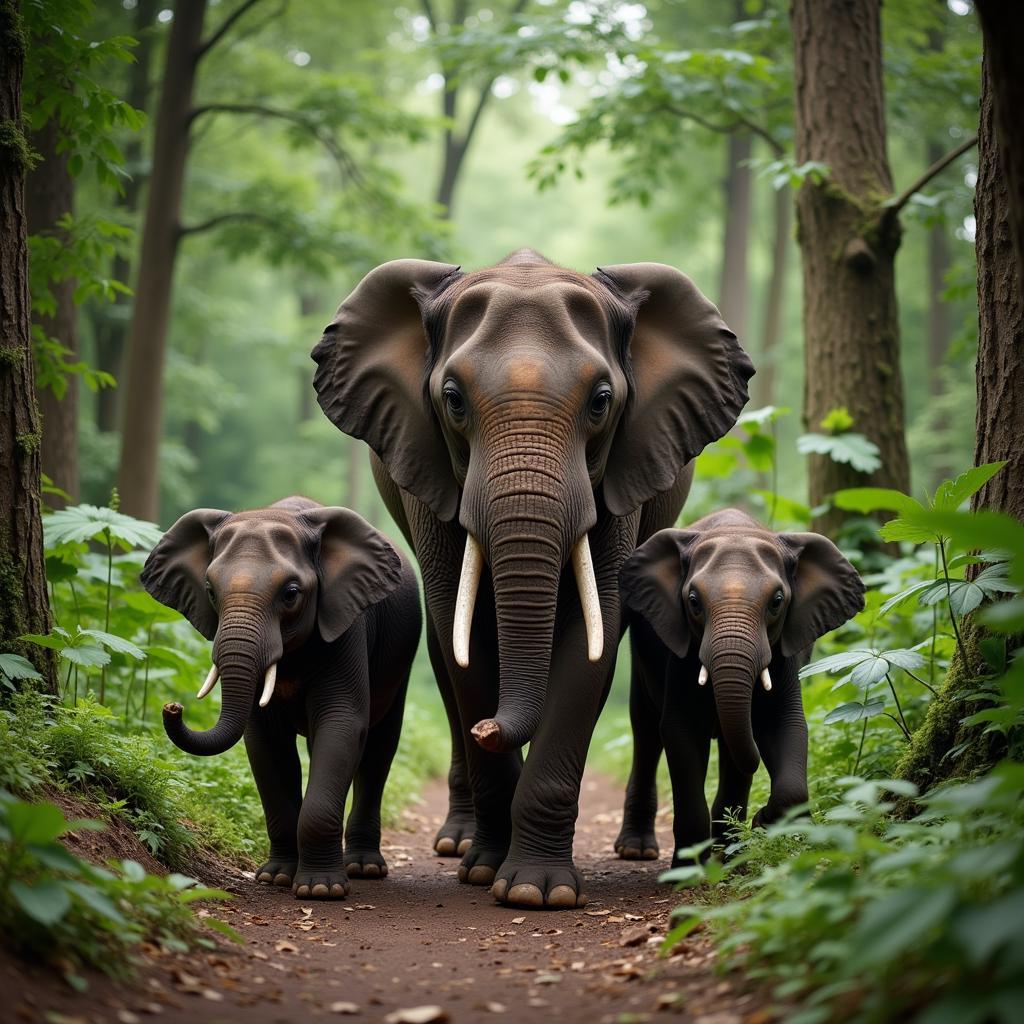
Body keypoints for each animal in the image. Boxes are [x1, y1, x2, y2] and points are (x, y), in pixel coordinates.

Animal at [140, 499, 419, 901]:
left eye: (290, 593)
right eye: (210, 590)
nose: (172, 708)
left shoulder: (346, 626)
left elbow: (342, 724)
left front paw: (321, 890)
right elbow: (265, 743)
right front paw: (275, 878)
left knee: (379, 747)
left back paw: (364, 868)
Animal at [311, 251, 753, 909]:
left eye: (601, 401)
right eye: (452, 399)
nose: (490, 727)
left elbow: (592, 640)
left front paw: (536, 891)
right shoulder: (427, 468)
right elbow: (463, 638)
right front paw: (485, 871)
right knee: (444, 654)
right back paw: (459, 842)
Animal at [614, 507, 864, 860]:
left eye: (777, 601)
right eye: (693, 601)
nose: (760, 819)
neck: (737, 529)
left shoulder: (784, 656)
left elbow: (785, 726)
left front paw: (762, 823)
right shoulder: (681, 658)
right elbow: (679, 731)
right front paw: (688, 868)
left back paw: (730, 853)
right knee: (646, 727)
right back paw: (638, 851)